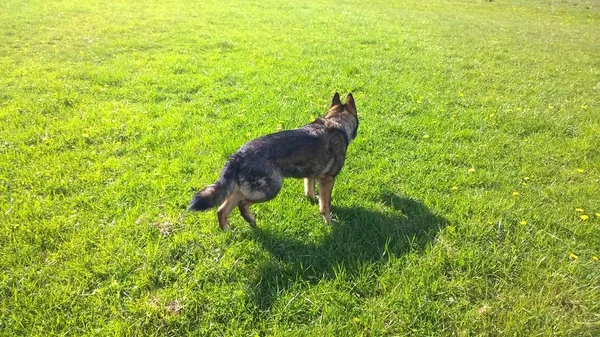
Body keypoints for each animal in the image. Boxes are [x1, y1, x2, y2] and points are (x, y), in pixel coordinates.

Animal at [189, 92, 356, 231]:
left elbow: (310, 190)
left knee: (222, 210)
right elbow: (325, 205)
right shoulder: (328, 179)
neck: (337, 122)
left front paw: (313, 200)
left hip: (243, 190)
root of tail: (237, 156)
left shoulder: (310, 175)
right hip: (271, 189)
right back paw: (249, 220)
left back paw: (228, 230)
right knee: (241, 204)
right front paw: (329, 221)